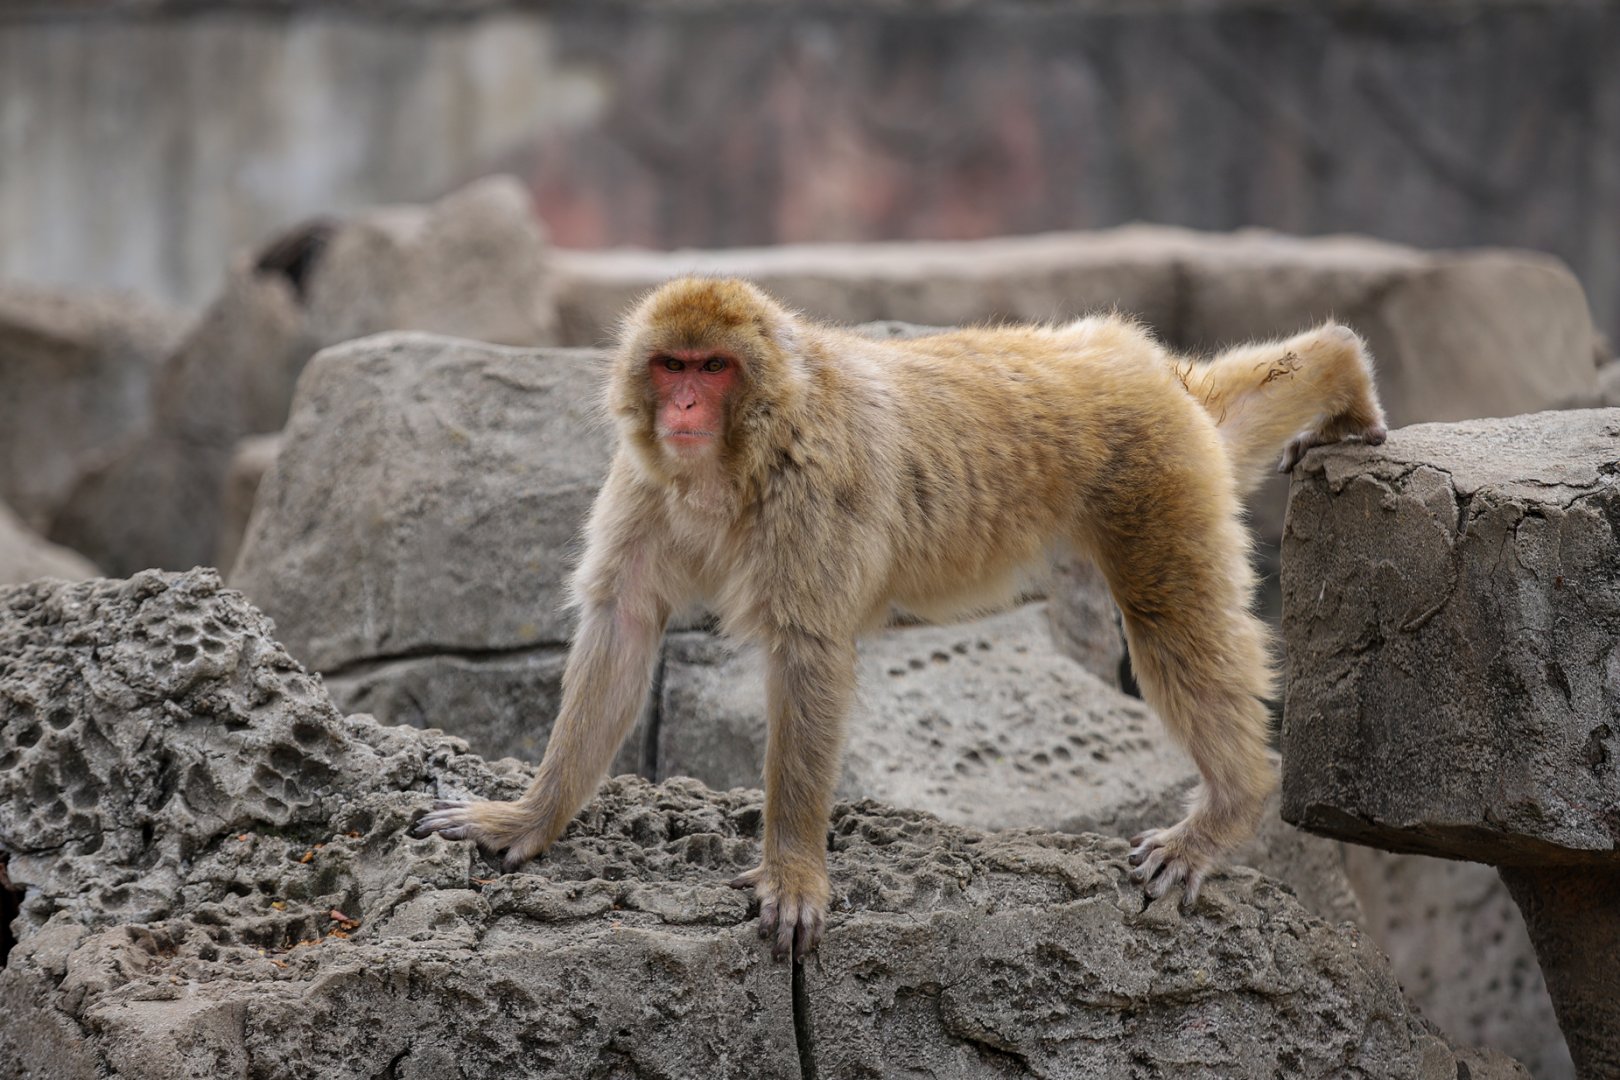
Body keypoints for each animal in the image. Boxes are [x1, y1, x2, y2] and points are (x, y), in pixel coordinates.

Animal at [415, 277, 1387, 961]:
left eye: (713, 368)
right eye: (672, 366)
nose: (684, 407)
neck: (737, 455)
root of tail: (1116, 354)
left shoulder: (815, 484)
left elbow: (808, 653)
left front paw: (794, 868)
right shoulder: (646, 479)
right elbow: (622, 623)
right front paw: (530, 818)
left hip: (1154, 466)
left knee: (1168, 616)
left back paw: (1231, 805)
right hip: (1173, 440)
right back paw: (1340, 371)